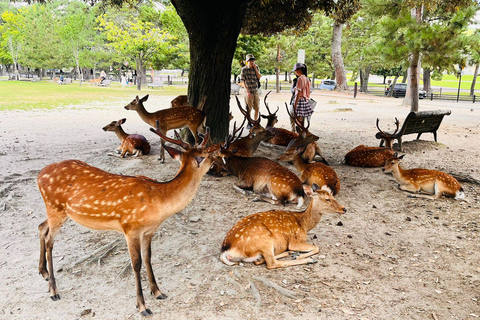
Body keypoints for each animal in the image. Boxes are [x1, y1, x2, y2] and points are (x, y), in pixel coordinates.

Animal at [38, 126, 215, 316]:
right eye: (205, 155)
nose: (217, 160)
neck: (159, 203)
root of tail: (39, 176)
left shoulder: (149, 231)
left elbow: (148, 257)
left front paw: (158, 291)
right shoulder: (130, 228)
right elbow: (136, 264)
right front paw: (142, 306)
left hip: (57, 211)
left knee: (41, 227)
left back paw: (43, 272)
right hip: (55, 208)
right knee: (49, 241)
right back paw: (53, 291)